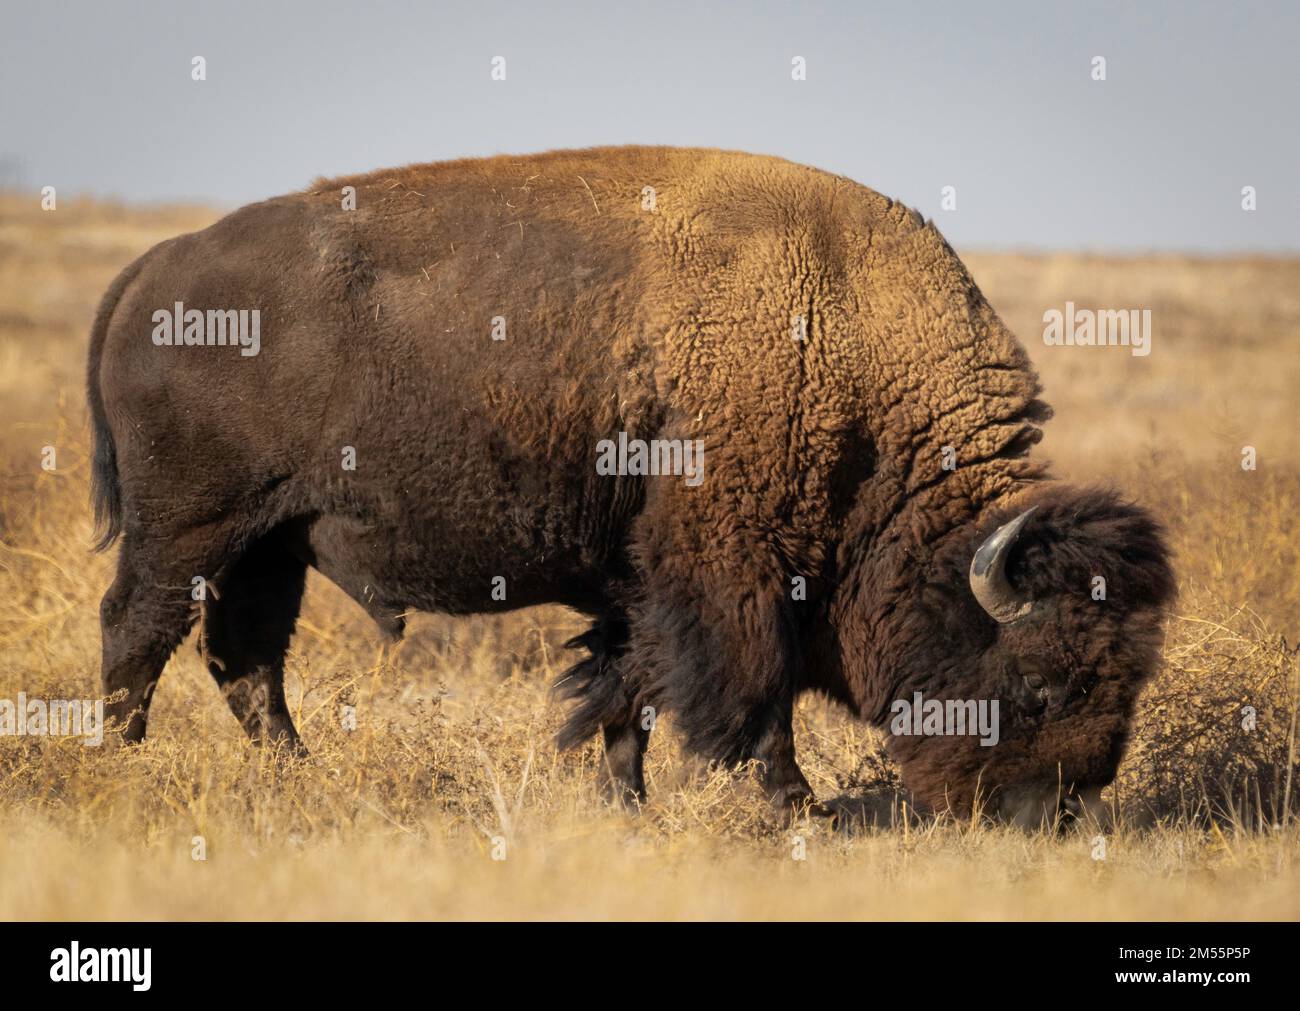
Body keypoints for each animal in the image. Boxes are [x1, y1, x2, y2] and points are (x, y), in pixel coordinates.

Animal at [86, 151, 1175, 826]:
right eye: (1039, 683)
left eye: (1128, 683)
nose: (1048, 815)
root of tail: (154, 266)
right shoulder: (734, 578)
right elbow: (748, 697)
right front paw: (798, 810)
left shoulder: (646, 586)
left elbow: (625, 693)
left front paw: (627, 802)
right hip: (191, 530)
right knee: (138, 631)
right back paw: (119, 769)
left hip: (271, 540)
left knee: (244, 660)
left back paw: (298, 777)